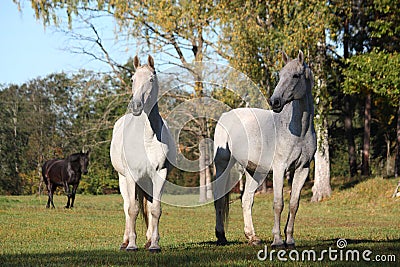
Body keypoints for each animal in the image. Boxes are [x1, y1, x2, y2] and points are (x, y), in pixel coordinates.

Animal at [111, 55, 176, 253]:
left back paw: (148, 240)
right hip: (122, 178)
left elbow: (155, 209)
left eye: (151, 79)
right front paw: (132, 245)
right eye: (132, 79)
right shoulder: (131, 176)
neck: (147, 137)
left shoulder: (160, 174)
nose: (136, 106)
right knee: (127, 206)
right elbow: (132, 209)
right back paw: (125, 242)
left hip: (147, 181)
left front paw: (154, 244)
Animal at [212, 50, 316, 249]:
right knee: (219, 200)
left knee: (246, 200)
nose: (275, 101)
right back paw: (221, 236)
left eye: (296, 75)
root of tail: (226, 115)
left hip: (256, 172)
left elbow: (294, 204)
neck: (299, 131)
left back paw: (252, 237)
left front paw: (290, 239)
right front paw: (277, 241)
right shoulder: (280, 168)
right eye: (280, 74)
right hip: (223, 165)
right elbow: (278, 203)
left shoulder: (303, 169)